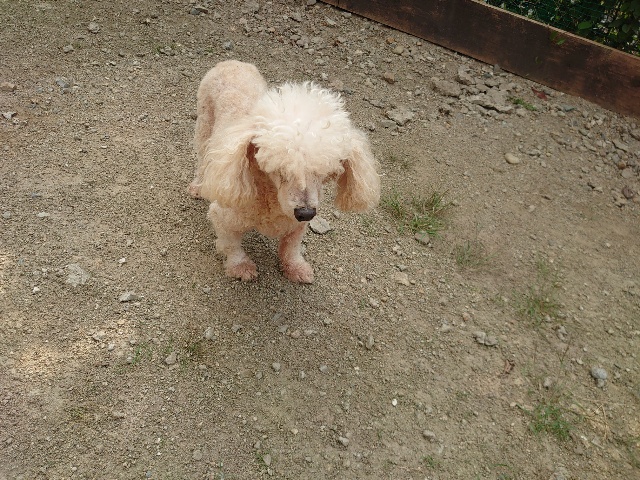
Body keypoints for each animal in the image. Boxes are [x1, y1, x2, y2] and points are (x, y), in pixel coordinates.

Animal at [189, 60, 380, 283]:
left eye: (323, 173)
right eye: (280, 170)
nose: (305, 213)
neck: (272, 199)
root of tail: (231, 62)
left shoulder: (297, 226)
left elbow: (291, 247)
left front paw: (295, 268)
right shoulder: (224, 217)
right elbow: (231, 245)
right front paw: (240, 267)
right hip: (204, 123)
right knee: (203, 158)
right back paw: (198, 186)